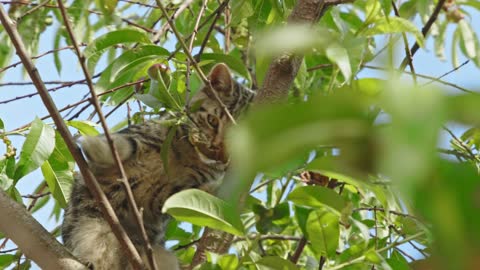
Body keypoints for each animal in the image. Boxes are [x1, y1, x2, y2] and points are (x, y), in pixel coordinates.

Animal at [62, 63, 256, 270]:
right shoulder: (144, 134)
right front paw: (98, 146)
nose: (217, 151)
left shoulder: (168, 197)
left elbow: (191, 191)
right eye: (213, 121)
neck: (187, 155)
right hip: (88, 224)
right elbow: (129, 142)